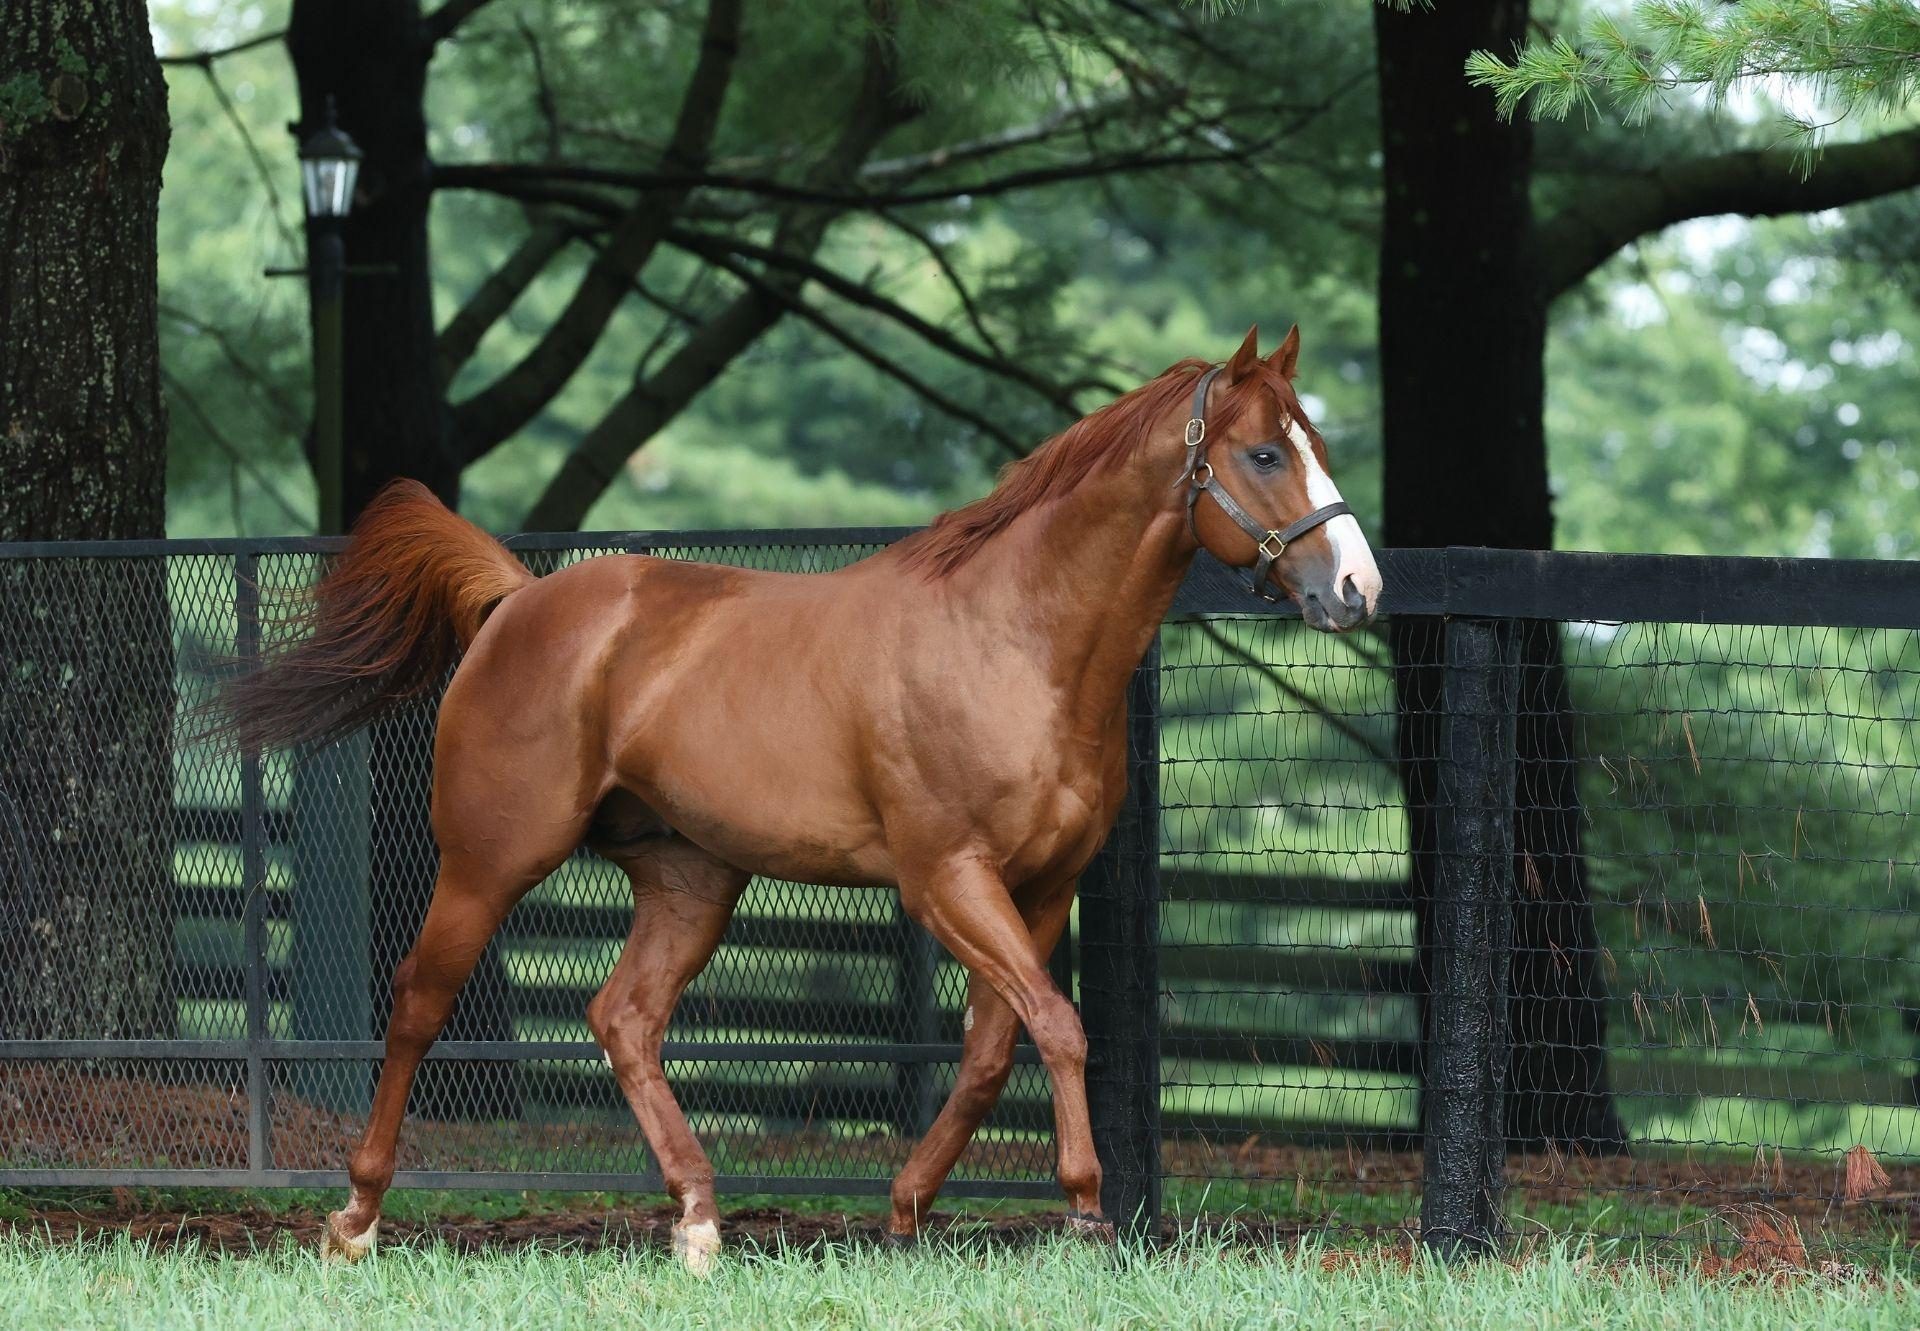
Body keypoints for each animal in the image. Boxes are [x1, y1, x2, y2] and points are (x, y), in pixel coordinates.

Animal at [220, 322, 1382, 1267]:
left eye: (1317, 447)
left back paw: (698, 1218)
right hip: (489, 859)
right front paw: (1088, 1211)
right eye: (1266, 451)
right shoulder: (946, 880)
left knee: (625, 1015)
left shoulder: (1042, 886)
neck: (1013, 640)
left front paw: (907, 1208)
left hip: (690, 877)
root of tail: (519, 599)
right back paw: (357, 1217)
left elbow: (992, 1048)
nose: (1358, 588)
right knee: (421, 1001)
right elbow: (1057, 1027)